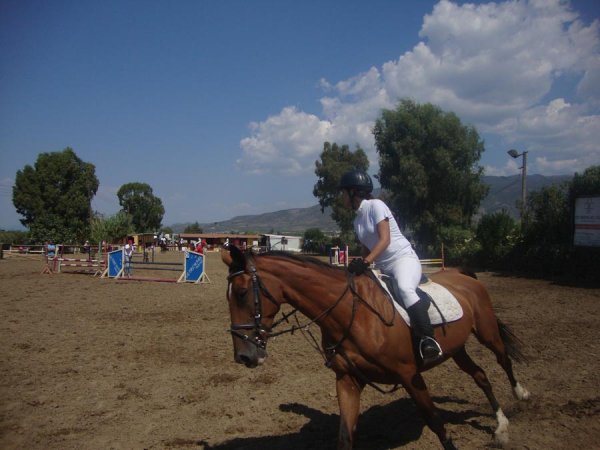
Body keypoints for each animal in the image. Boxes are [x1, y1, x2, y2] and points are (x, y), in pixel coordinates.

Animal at [221, 246, 530, 449]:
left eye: (242, 293)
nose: (243, 356)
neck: (352, 313)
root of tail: (461, 275)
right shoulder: (348, 380)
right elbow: (345, 436)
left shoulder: (410, 376)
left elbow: (436, 422)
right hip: (457, 349)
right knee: (480, 375)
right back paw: (501, 426)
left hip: (487, 333)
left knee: (503, 360)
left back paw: (521, 395)